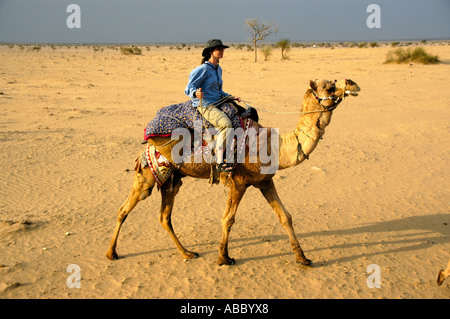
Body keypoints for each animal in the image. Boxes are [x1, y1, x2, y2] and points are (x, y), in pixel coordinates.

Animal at [106, 79, 362, 266]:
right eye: (329, 86)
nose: (353, 83)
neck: (274, 146)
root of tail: (148, 143)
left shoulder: (265, 182)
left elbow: (285, 217)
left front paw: (303, 258)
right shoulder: (238, 182)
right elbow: (228, 219)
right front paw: (224, 257)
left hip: (173, 178)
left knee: (164, 217)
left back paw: (187, 253)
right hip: (148, 175)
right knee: (124, 209)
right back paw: (111, 253)